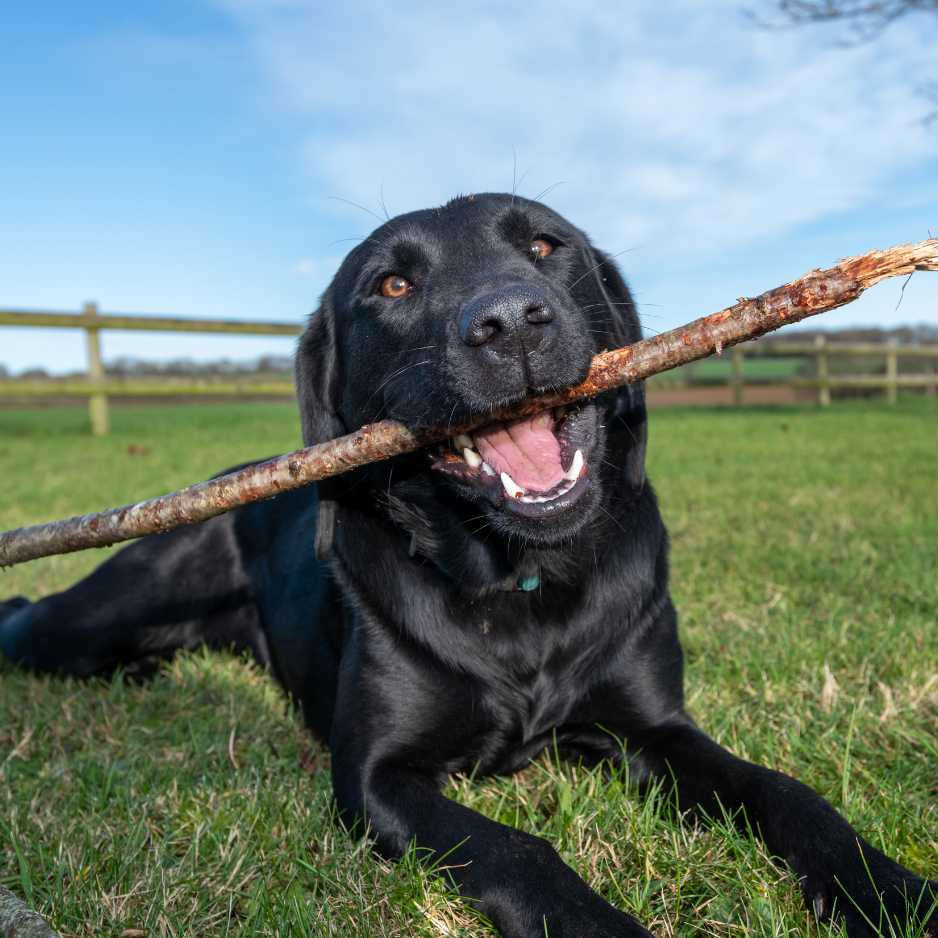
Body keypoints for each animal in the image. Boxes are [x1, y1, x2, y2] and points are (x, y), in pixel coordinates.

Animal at [0, 194, 932, 932]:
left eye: (547, 247)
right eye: (392, 285)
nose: (510, 320)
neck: (519, 583)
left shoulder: (655, 729)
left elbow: (788, 791)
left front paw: (888, 889)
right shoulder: (378, 778)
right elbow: (520, 850)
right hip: (97, 617)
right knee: (33, 618)